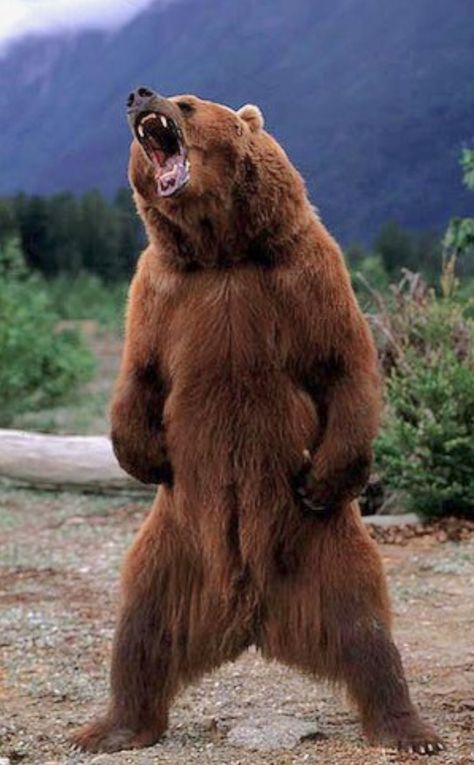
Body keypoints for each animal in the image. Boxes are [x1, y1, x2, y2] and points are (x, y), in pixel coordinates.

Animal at [72, 88, 442, 752]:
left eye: (187, 102)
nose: (139, 95)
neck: (224, 251)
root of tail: (250, 617)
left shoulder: (306, 273)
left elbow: (344, 363)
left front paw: (325, 477)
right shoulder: (162, 289)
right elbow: (140, 373)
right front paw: (146, 456)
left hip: (326, 549)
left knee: (367, 628)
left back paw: (407, 727)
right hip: (172, 549)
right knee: (141, 626)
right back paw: (111, 727)